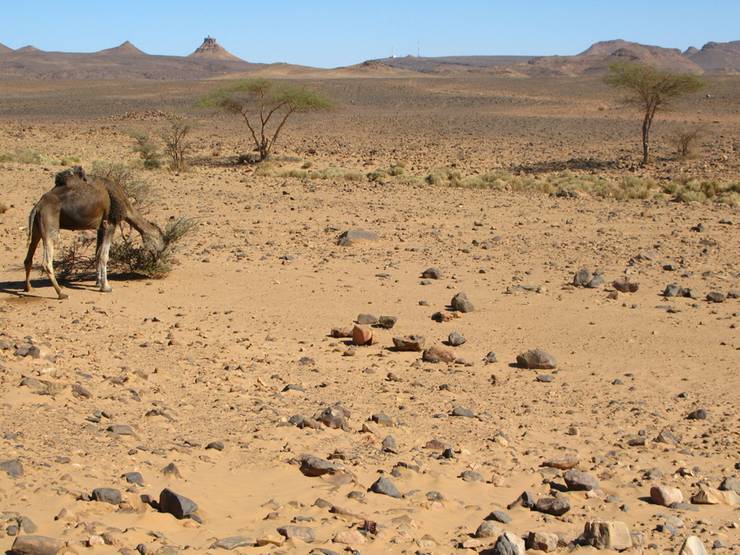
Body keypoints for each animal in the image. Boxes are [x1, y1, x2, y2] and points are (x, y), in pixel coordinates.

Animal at [24, 167, 163, 300]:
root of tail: (38, 206)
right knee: (47, 262)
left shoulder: (100, 227)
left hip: (37, 228)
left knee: (28, 258)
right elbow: (104, 256)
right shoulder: (110, 223)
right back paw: (61, 294)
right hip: (50, 225)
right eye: (161, 244)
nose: (160, 263)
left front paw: (98, 282)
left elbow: (97, 253)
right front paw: (106, 287)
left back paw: (28, 288)